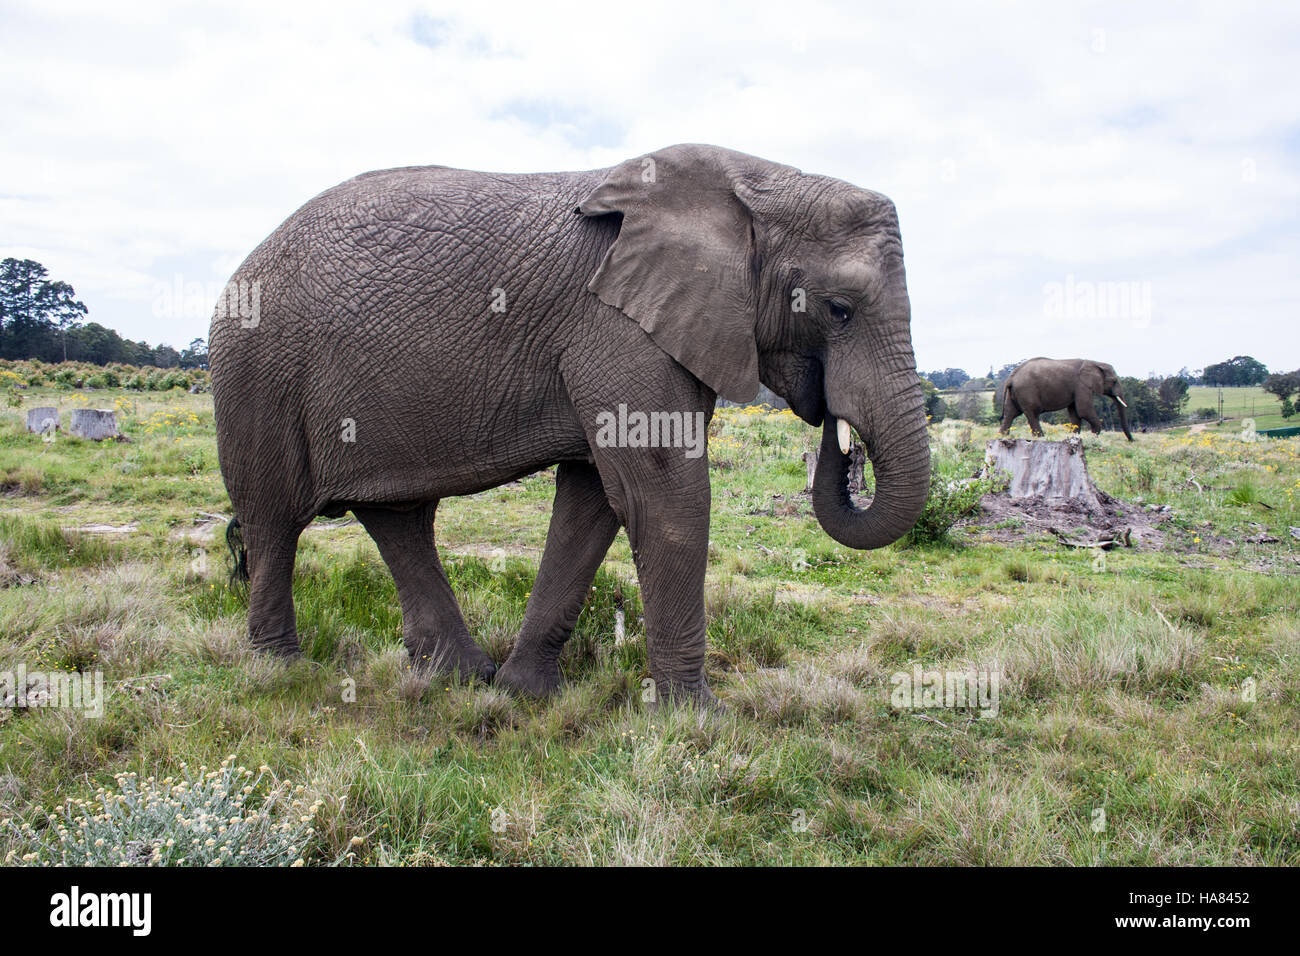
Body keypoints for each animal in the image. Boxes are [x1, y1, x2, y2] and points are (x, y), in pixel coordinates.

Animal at [208, 143, 930, 712]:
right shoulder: (616, 327)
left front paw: (526, 694)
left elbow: (592, 502)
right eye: (838, 309)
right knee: (274, 521)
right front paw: (701, 720)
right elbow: (664, 498)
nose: (834, 423)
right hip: (255, 373)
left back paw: (462, 677)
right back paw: (283, 672)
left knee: (399, 516)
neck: (757, 184)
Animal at [998, 356, 1133, 439]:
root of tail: (1011, 377)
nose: (1131, 440)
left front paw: (1074, 437)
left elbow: (1075, 414)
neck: (1094, 362)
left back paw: (1002, 436)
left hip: (1014, 393)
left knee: (1011, 413)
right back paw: (1041, 437)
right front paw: (1093, 436)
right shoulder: (1081, 385)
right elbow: (1084, 411)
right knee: (1032, 413)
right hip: (1027, 391)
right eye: (1114, 381)